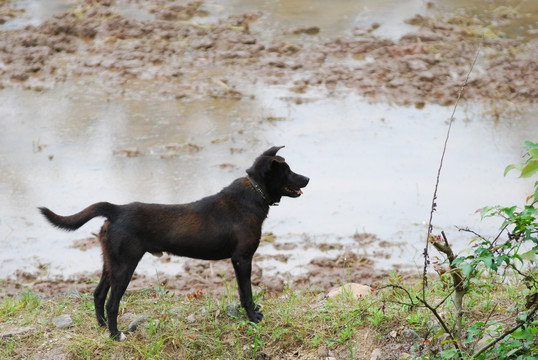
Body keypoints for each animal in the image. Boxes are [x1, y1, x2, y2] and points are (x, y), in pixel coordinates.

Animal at [38, 146, 306, 340]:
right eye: (288, 171)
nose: (308, 178)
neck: (254, 192)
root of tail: (116, 210)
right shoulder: (242, 259)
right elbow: (246, 292)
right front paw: (252, 317)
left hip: (110, 263)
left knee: (97, 294)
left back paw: (102, 326)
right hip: (125, 266)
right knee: (112, 303)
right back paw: (115, 335)